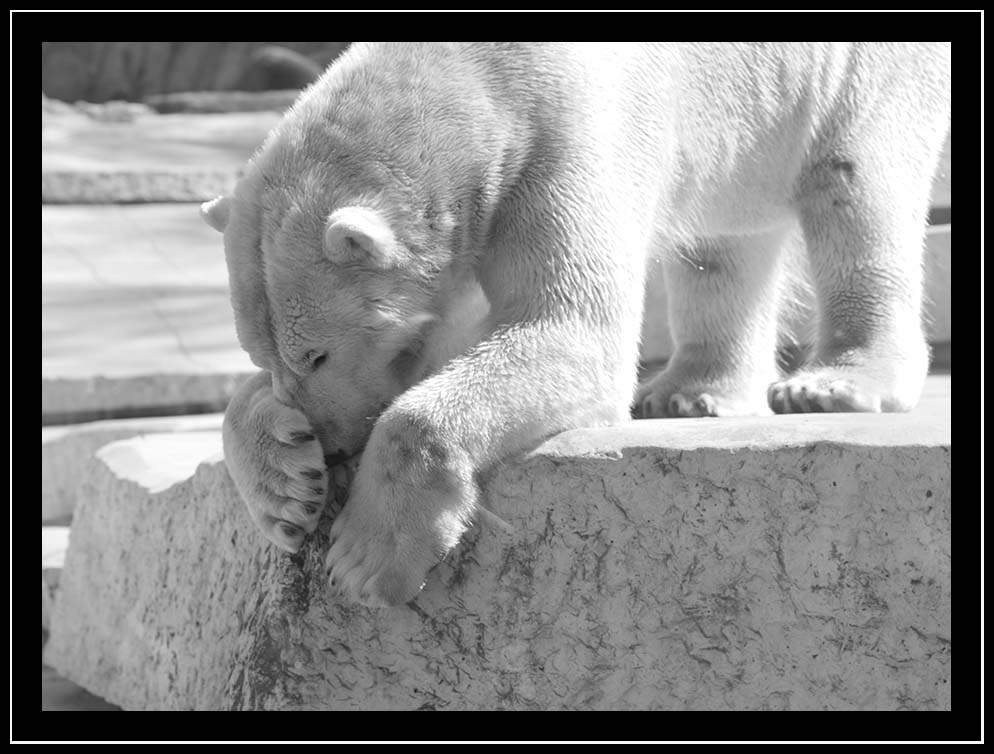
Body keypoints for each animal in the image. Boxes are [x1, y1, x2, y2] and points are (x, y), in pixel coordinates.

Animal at [200, 42, 944, 604]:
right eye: (267, 355)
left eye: (318, 354)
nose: (328, 445)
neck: (474, 85)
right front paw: (284, 486)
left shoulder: (560, 138)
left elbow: (573, 330)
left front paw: (363, 555)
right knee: (725, 244)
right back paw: (693, 392)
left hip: (860, 70)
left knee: (858, 186)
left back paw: (837, 381)